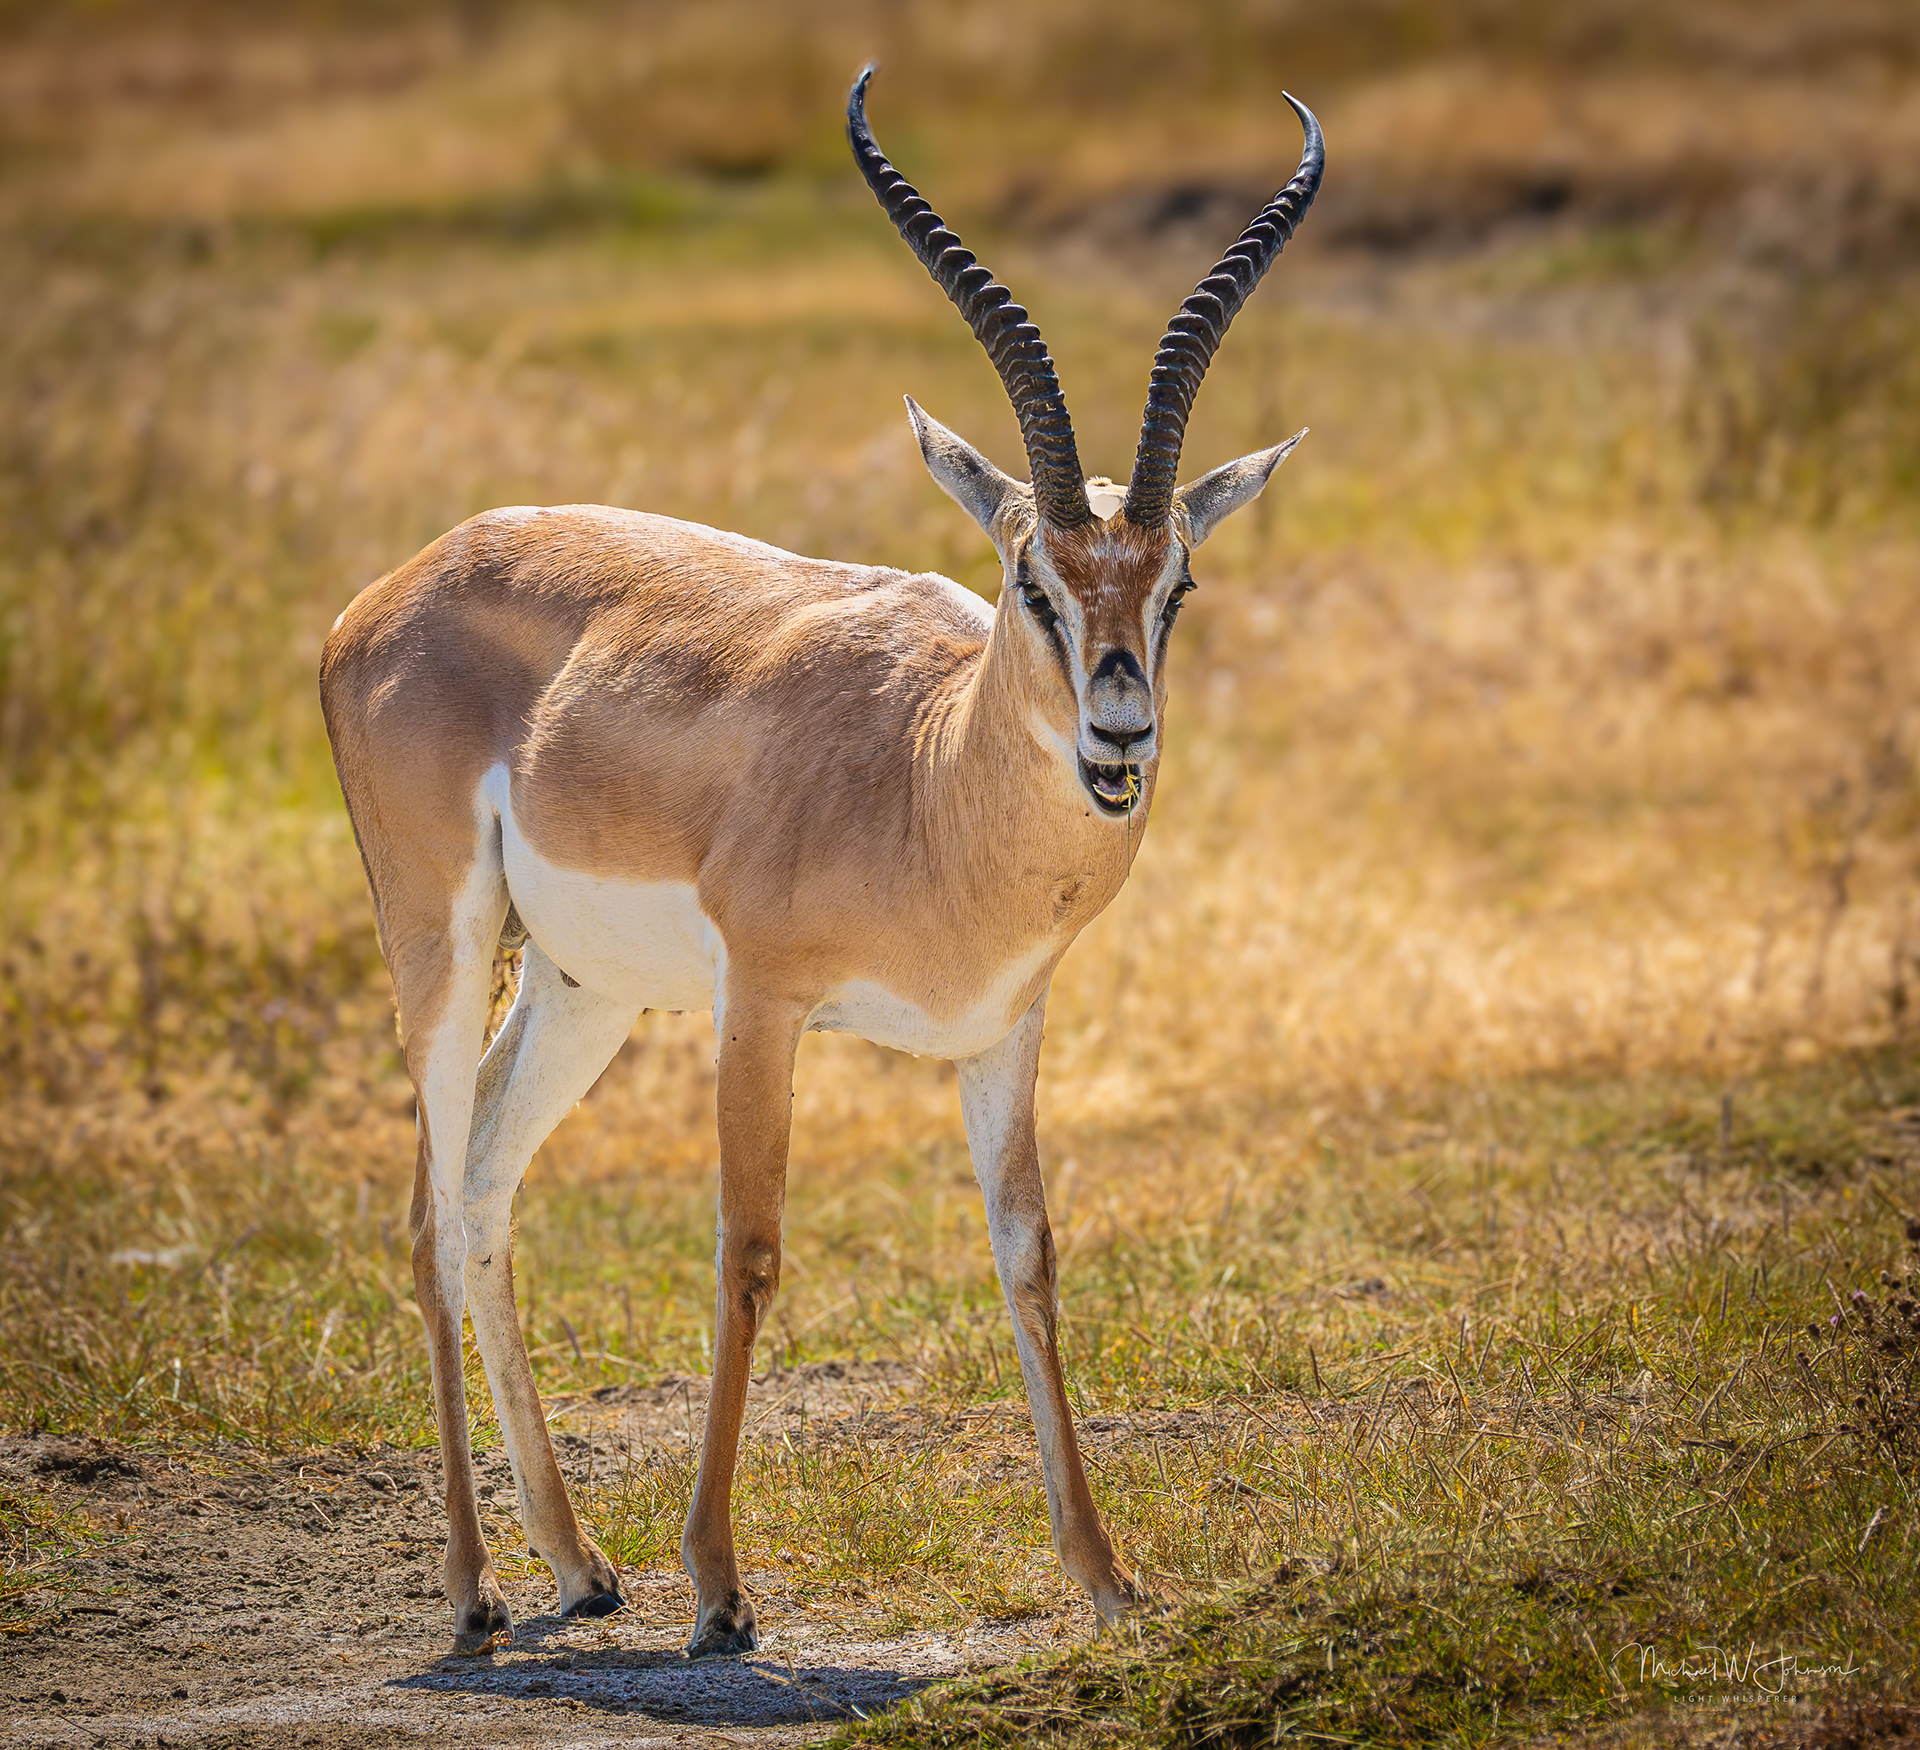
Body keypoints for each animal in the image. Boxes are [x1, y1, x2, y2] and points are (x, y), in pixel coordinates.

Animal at [319, 67, 1322, 1657]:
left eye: (1175, 582)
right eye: (1031, 578)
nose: (1119, 735)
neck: (925, 776)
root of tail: (390, 590)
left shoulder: (1004, 1029)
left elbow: (1029, 1253)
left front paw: (1106, 1573)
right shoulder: (764, 1003)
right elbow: (750, 1249)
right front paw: (721, 1589)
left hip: (583, 989)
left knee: (481, 1190)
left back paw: (577, 1566)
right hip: (444, 940)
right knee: (424, 1209)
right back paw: (475, 1593)